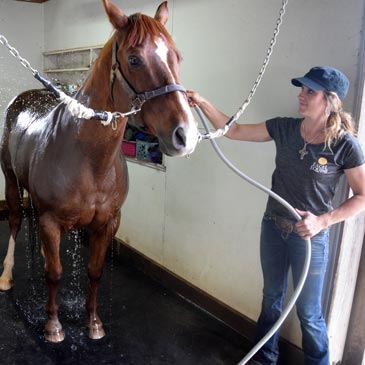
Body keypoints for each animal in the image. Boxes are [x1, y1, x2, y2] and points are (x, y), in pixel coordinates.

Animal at [0, 0, 198, 342]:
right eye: (134, 59)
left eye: (177, 56)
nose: (185, 135)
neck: (89, 158)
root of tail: (22, 98)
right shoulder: (51, 220)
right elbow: (55, 274)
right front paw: (53, 327)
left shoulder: (107, 223)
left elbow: (94, 272)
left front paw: (93, 324)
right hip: (10, 181)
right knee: (14, 221)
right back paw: (7, 275)